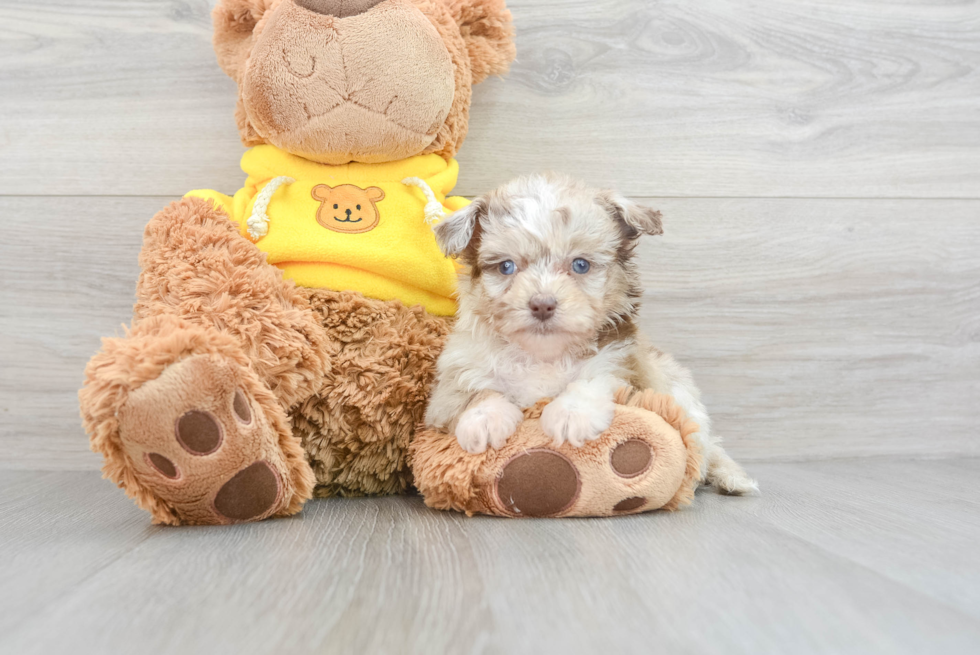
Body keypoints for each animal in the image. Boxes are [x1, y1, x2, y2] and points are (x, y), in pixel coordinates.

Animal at [424, 172, 756, 494]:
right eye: (506, 267)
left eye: (580, 265)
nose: (542, 304)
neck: (544, 355)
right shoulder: (452, 379)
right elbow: (471, 390)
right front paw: (484, 418)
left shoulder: (623, 365)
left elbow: (595, 380)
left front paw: (572, 413)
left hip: (682, 396)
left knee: (706, 445)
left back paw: (726, 476)